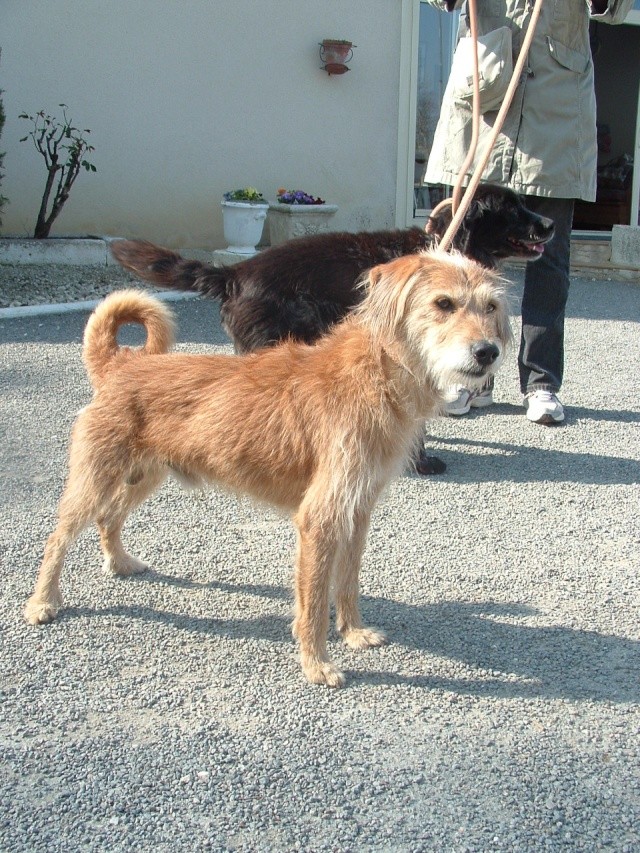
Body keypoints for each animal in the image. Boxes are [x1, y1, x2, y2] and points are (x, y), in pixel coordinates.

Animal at [23, 248, 510, 684]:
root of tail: (119, 365)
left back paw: (119, 562)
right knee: (57, 538)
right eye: (443, 304)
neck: (378, 369)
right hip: (94, 479)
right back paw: (43, 602)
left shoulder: (357, 510)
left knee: (110, 517)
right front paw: (317, 665)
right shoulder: (320, 518)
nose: (488, 352)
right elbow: (313, 601)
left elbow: (347, 582)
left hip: (146, 474)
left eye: (491, 306)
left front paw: (353, 633)